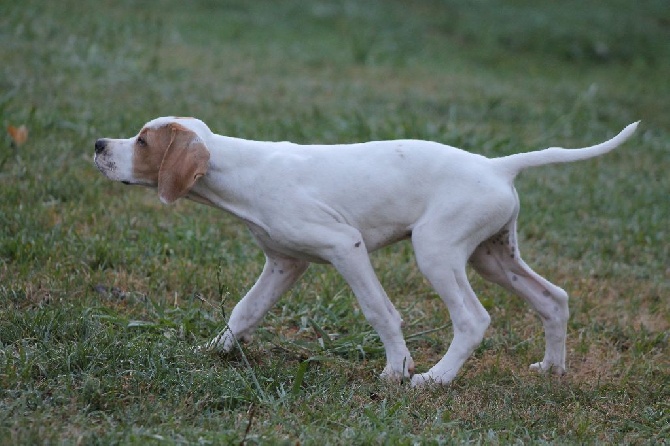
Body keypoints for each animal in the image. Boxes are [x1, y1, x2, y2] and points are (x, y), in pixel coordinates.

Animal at [94, 116, 640, 386]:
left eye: (141, 141)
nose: (99, 145)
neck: (243, 170)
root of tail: (497, 166)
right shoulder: (284, 263)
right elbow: (244, 311)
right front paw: (213, 350)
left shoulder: (345, 247)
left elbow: (380, 312)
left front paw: (398, 369)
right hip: (492, 256)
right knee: (553, 299)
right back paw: (552, 369)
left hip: (436, 251)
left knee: (473, 319)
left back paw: (437, 379)